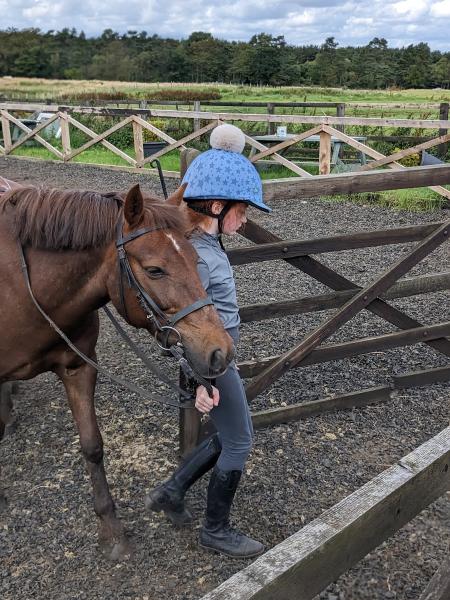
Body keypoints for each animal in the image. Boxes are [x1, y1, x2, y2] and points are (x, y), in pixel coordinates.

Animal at [0, 179, 232, 556]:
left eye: (197, 260)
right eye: (154, 270)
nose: (220, 351)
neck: (23, 287)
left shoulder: (79, 369)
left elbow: (93, 446)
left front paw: (111, 528)